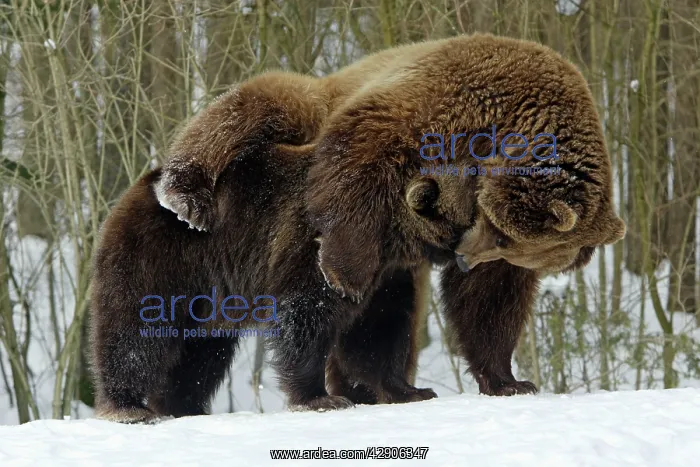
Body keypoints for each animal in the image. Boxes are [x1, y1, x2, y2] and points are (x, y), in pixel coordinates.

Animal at [90, 33, 626, 422]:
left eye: (506, 246)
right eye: (498, 233)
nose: (465, 256)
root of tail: (139, 185)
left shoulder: (393, 269)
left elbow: (435, 313)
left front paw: (498, 381)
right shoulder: (433, 108)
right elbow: (312, 305)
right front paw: (319, 394)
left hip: (213, 298)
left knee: (200, 354)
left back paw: (181, 404)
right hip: (170, 251)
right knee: (139, 328)